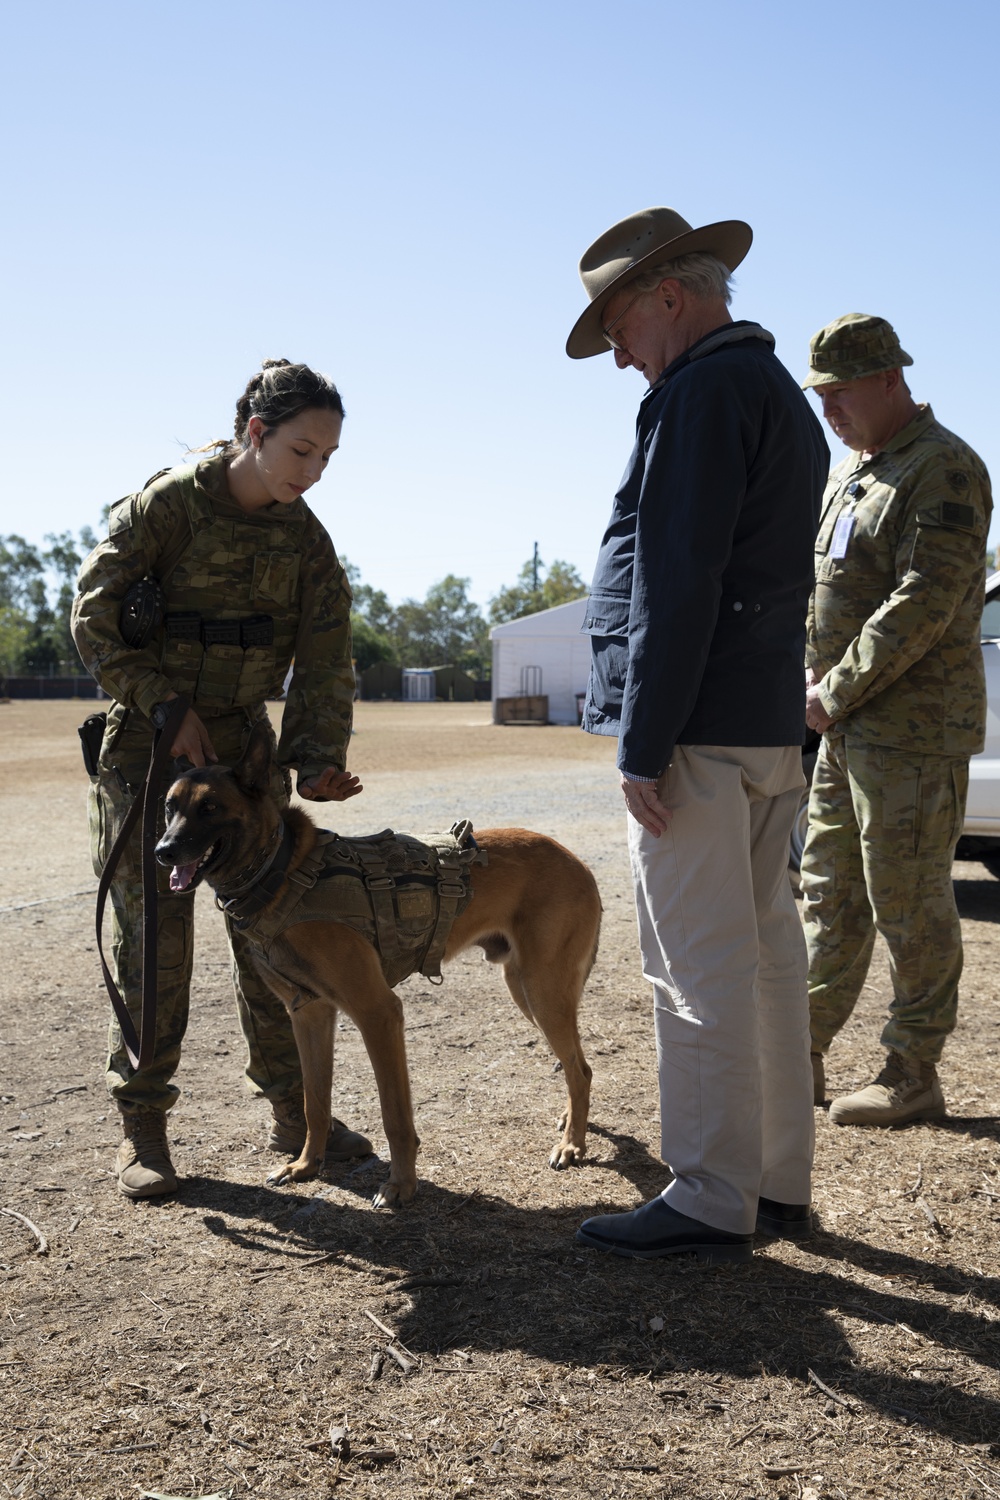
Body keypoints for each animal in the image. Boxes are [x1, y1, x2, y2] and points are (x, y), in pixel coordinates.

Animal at [152, 726, 599, 1206]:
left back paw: (572, 1144)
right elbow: (315, 1103)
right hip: (526, 990)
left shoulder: (379, 1013)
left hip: (542, 992)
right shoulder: (309, 1014)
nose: (162, 851)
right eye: (169, 807)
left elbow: (394, 1115)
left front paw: (401, 1185)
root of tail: (577, 861)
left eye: (210, 807)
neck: (282, 871)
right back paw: (570, 1123)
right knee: (577, 1064)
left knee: (579, 1069)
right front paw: (305, 1165)